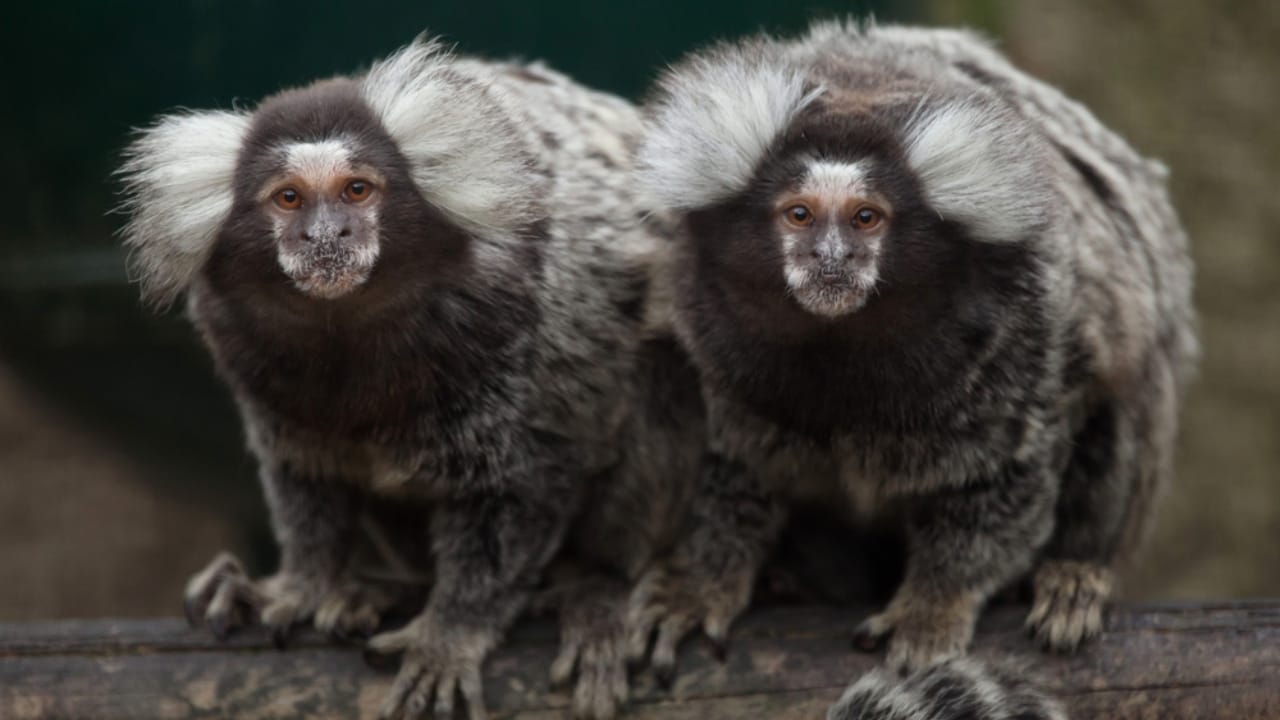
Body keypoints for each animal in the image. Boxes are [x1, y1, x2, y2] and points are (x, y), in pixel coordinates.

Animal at [118, 36, 701, 720]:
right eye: (288, 198)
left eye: (357, 190)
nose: (326, 236)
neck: (349, 332)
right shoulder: (249, 353)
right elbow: (304, 477)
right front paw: (301, 583)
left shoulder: (526, 328)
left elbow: (522, 488)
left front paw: (450, 633)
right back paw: (377, 591)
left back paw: (596, 589)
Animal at [625, 17, 1197, 685]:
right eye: (799, 215)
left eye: (866, 218)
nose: (831, 259)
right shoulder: (709, 337)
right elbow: (731, 465)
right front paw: (702, 580)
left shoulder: (1026, 336)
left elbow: (1002, 482)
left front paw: (935, 602)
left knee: (1120, 406)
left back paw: (1076, 574)